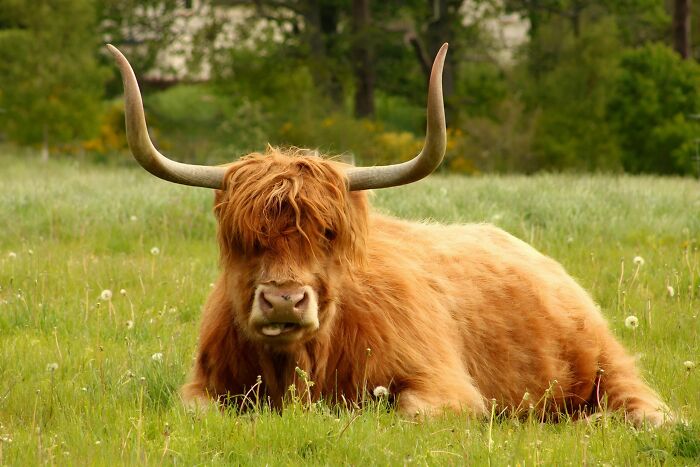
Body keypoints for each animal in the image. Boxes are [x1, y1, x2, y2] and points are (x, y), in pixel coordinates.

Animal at [107, 43, 670, 427]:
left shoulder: (447, 388)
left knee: (643, 404)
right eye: (244, 238)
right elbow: (196, 410)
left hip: (603, 361)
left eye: (328, 233)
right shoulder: (203, 386)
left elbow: (403, 412)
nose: (285, 300)